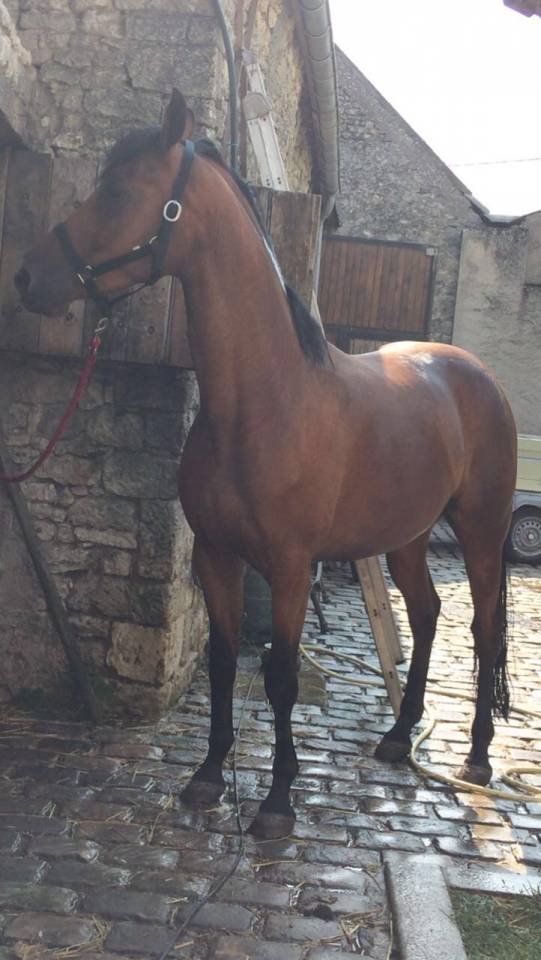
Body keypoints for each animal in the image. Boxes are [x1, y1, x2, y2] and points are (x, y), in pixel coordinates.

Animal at [14, 89, 517, 840]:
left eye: (119, 191)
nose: (27, 277)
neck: (263, 402)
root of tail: (476, 374)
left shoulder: (288, 566)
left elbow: (279, 676)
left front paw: (278, 800)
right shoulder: (217, 556)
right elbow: (224, 663)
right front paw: (206, 775)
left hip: (480, 532)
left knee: (482, 629)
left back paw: (477, 757)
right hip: (406, 536)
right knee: (427, 613)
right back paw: (398, 738)